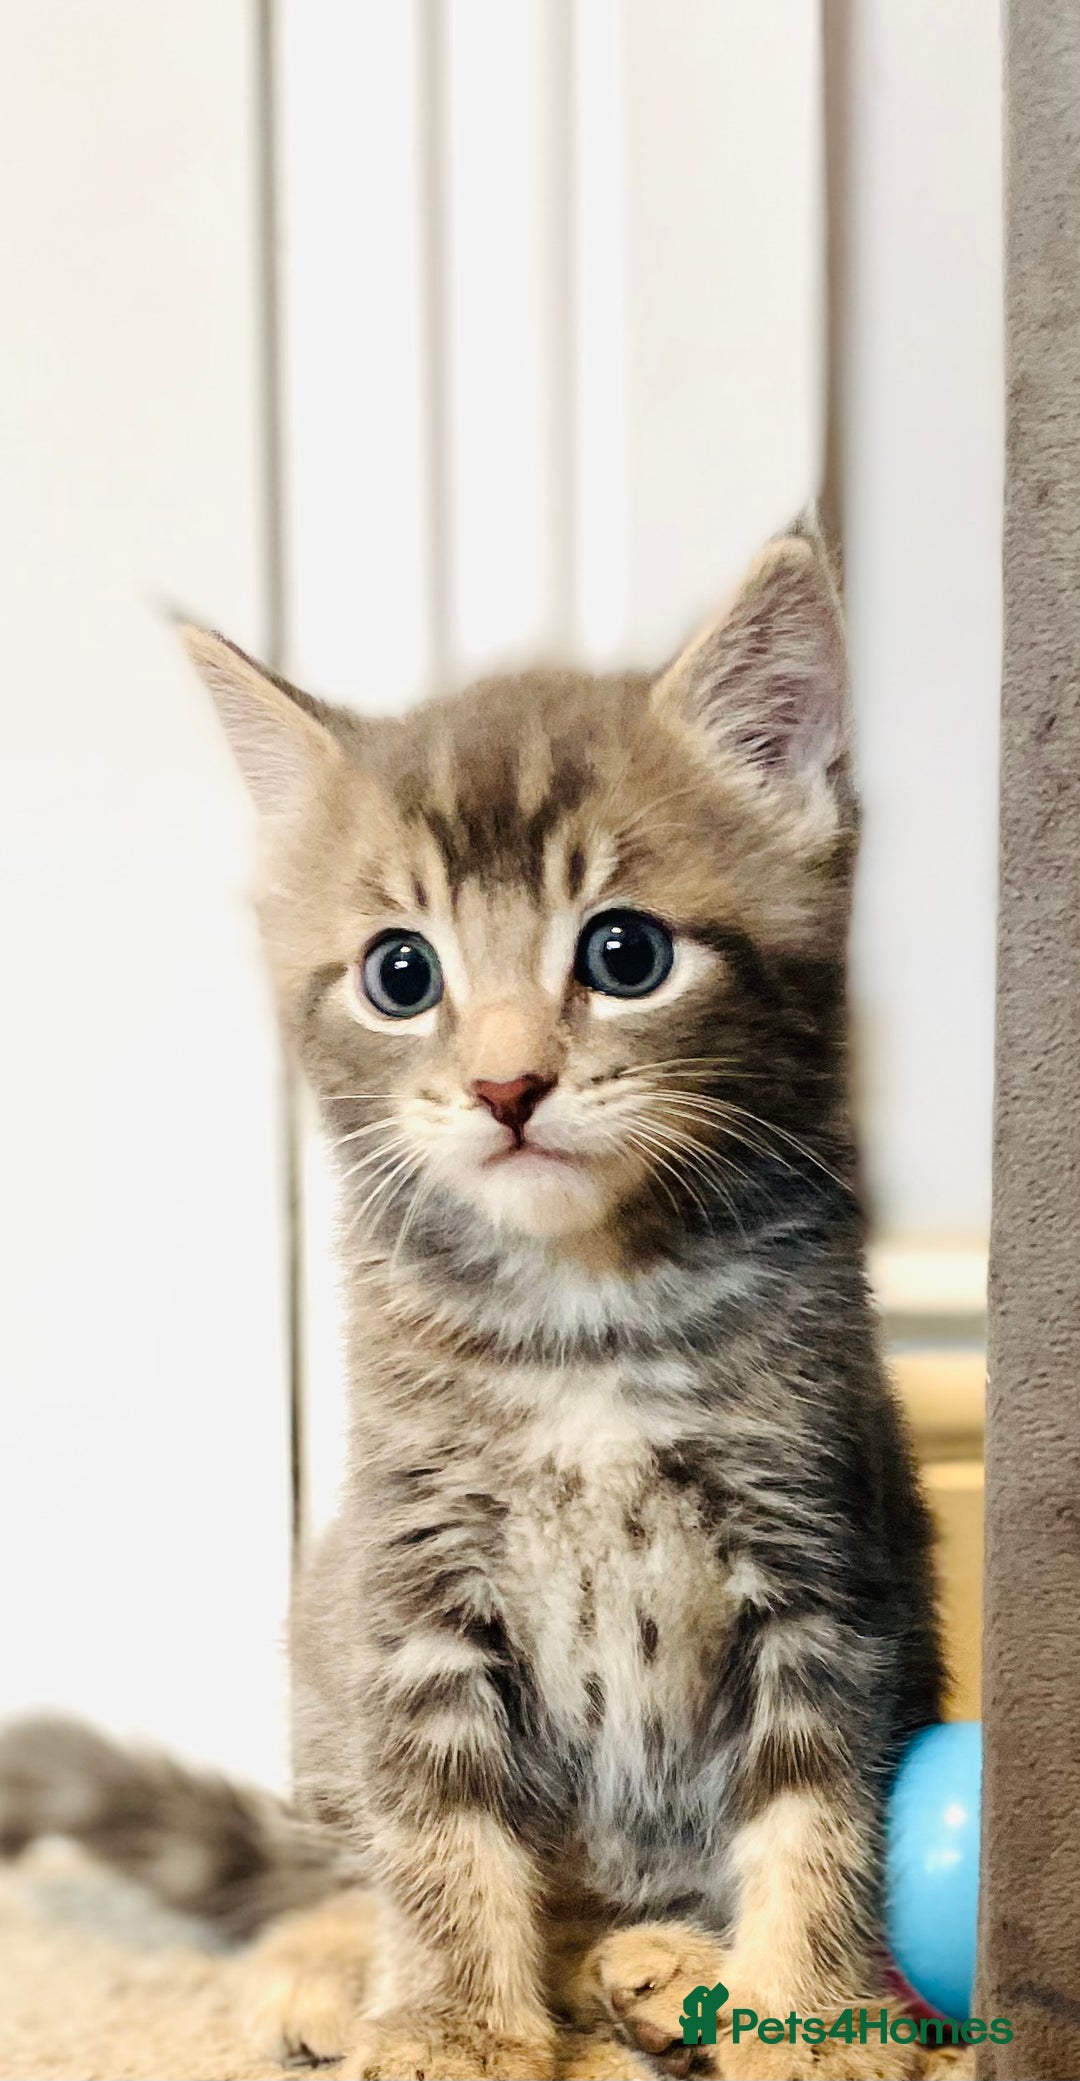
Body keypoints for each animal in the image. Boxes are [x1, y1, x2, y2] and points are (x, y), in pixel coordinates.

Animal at [0, 528, 944, 2081]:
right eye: (402, 973)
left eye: (625, 954)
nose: (508, 1085)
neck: (585, 1318)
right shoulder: (412, 1568)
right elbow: (438, 1820)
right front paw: (447, 2020)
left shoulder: (825, 1548)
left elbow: (823, 1803)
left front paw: (812, 2016)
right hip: (322, 1632)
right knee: (353, 1857)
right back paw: (342, 1967)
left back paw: (671, 1966)